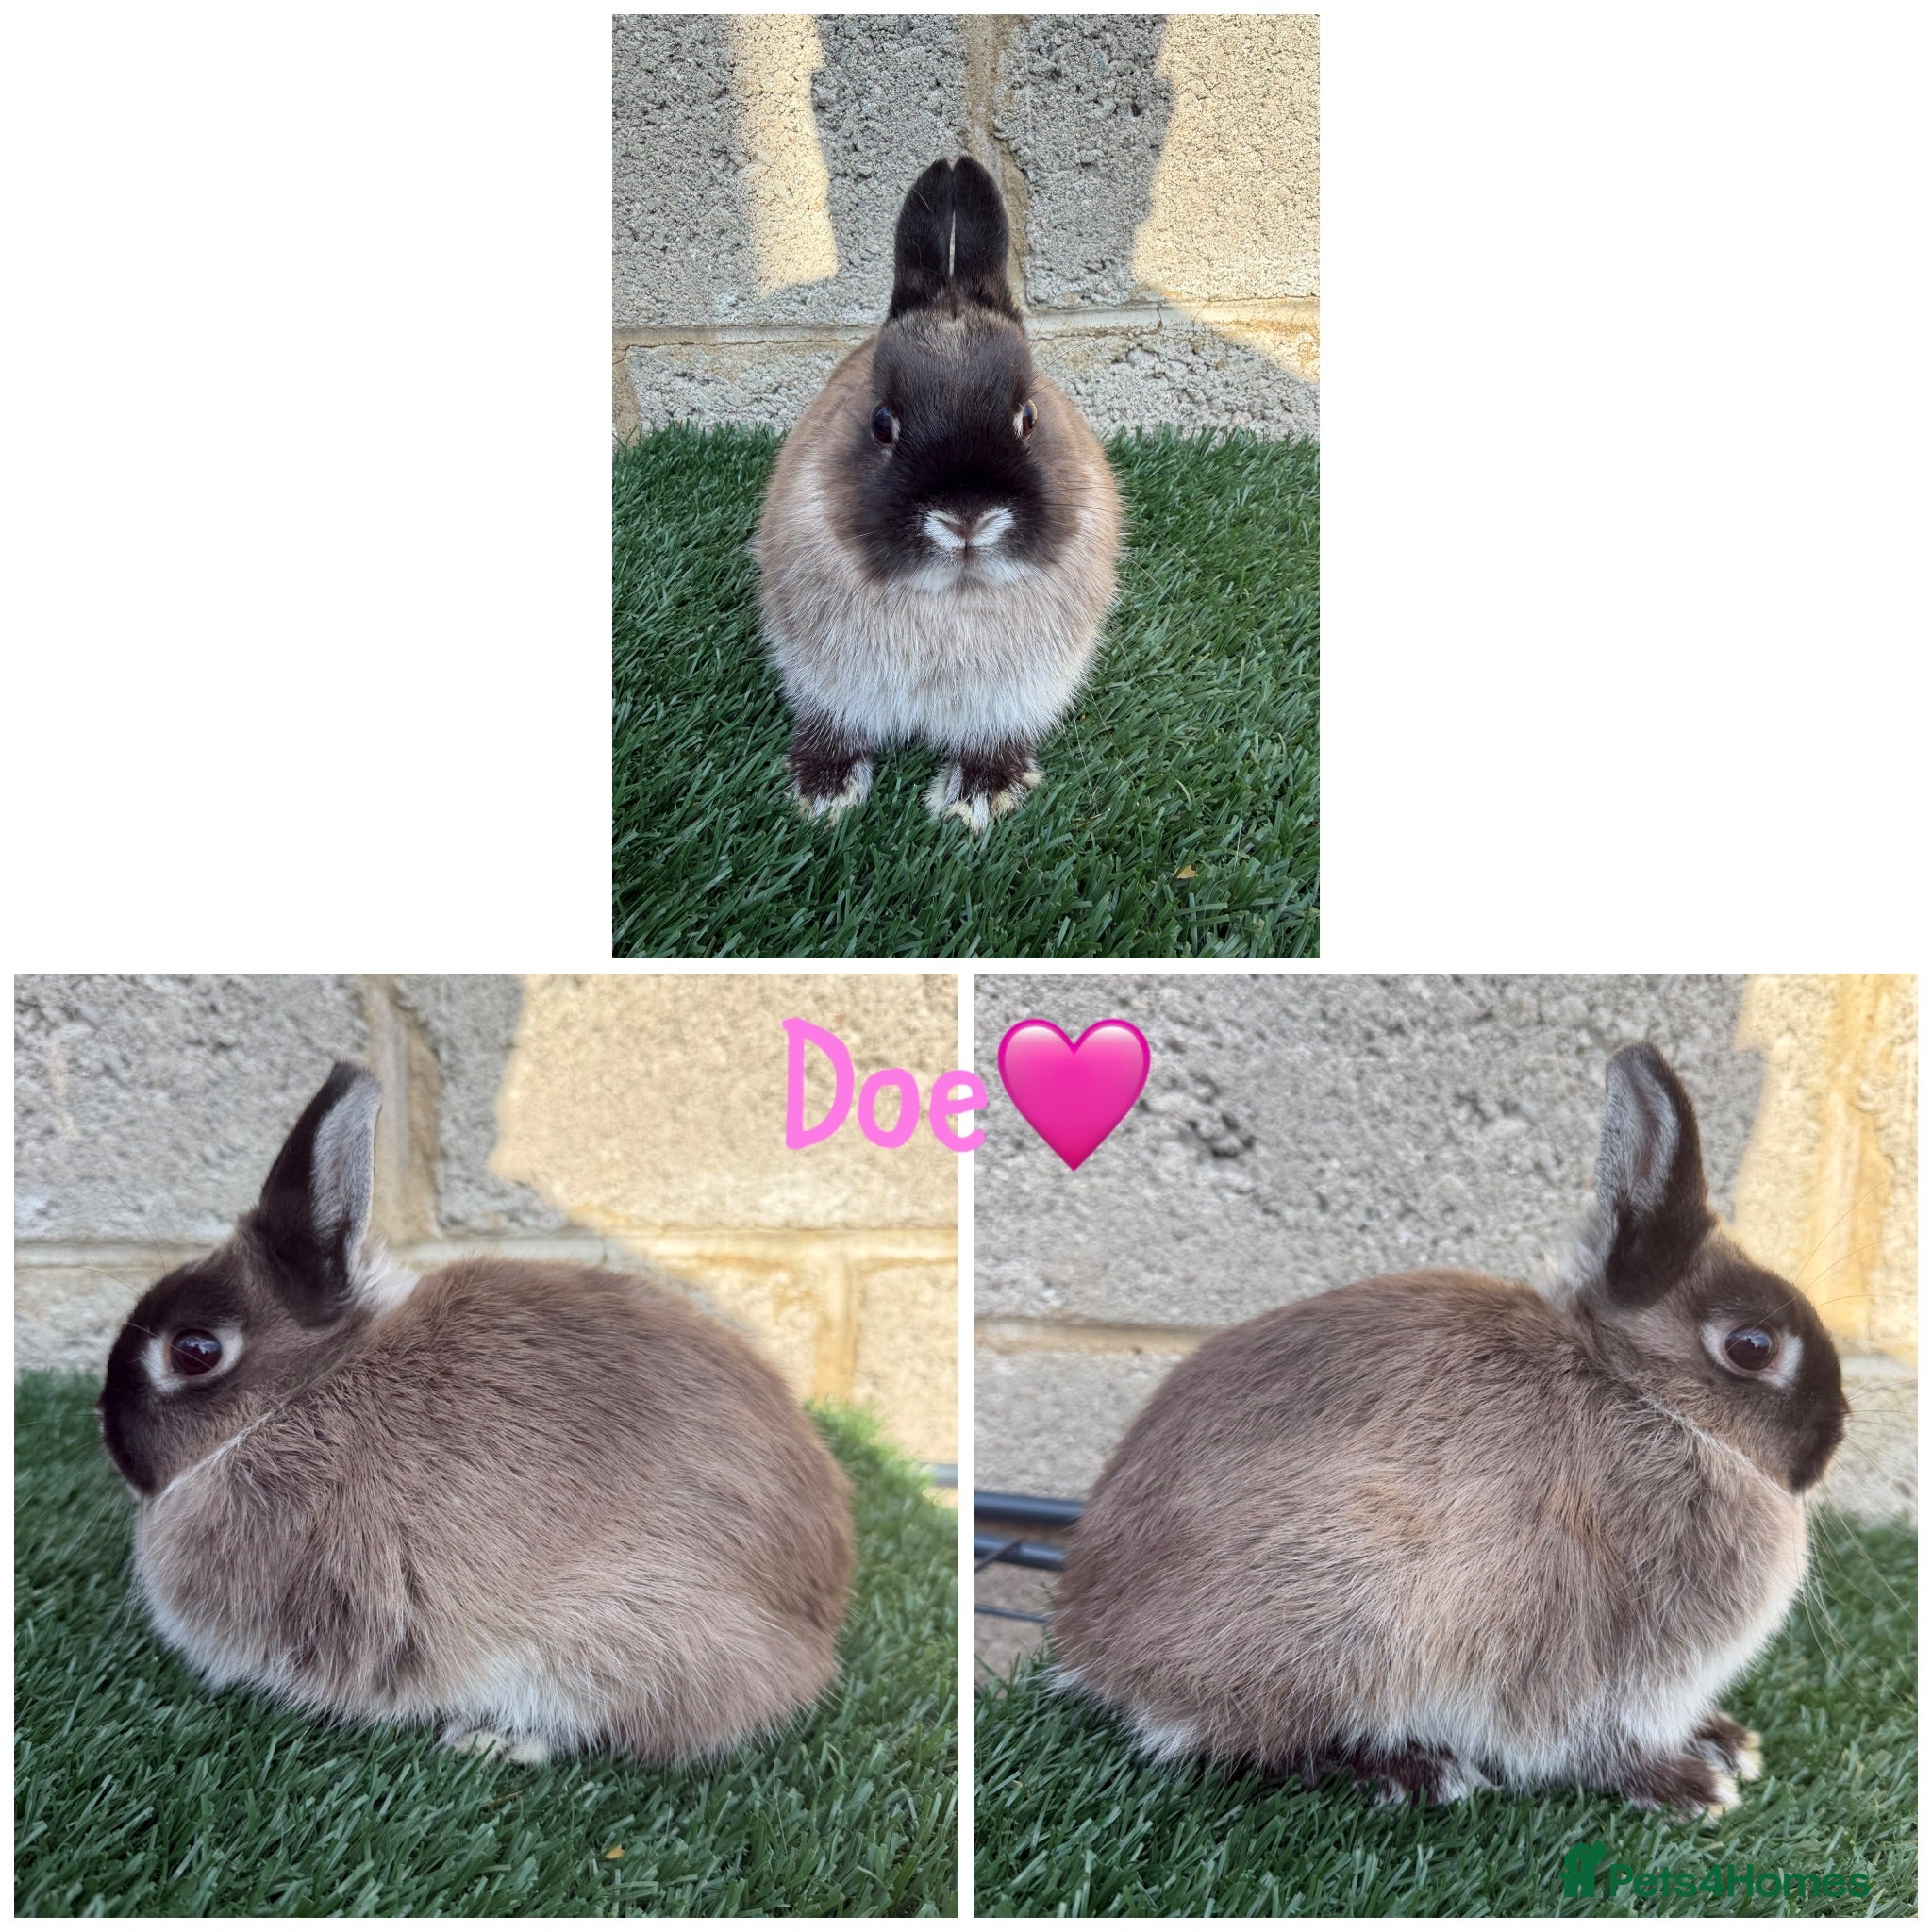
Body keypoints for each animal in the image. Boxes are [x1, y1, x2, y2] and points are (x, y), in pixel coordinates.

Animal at [754, 154, 1122, 835]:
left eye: (1028, 417)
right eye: (882, 423)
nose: (967, 518)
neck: (953, 597)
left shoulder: (1015, 694)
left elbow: (991, 737)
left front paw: (977, 796)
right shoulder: (825, 676)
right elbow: (836, 722)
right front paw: (822, 791)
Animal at [1051, 1044, 1849, 1817]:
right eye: (1752, 1347)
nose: (1830, 1442)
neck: (1642, 1395)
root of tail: (1094, 1647)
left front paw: (1725, 1741)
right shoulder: (1594, 1656)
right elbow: (1592, 1738)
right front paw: (1686, 1785)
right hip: (1341, 1622)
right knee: (1266, 1741)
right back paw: (1417, 1771)